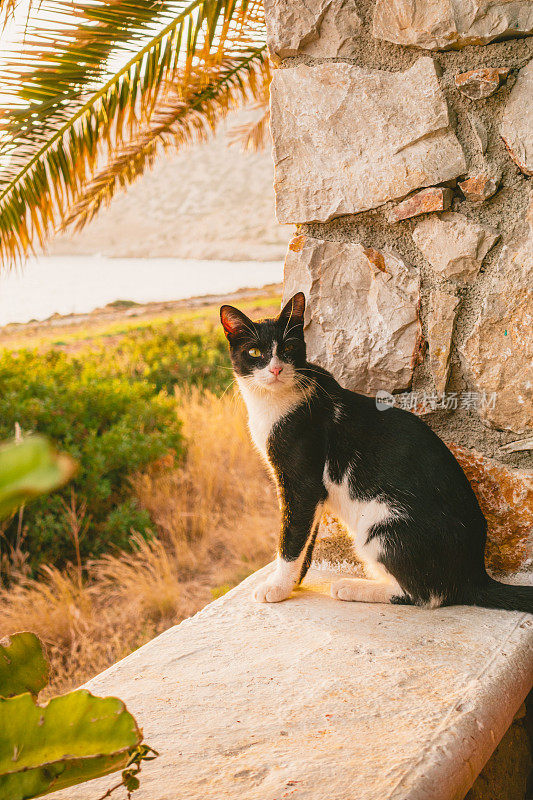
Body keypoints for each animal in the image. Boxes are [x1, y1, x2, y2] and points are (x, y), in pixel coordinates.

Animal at [219, 294, 532, 612]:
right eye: (255, 352)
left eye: (288, 348)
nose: (276, 369)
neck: (273, 403)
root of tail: (474, 575)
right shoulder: (311, 492)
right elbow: (306, 535)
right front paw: (294, 583)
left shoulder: (302, 482)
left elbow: (292, 537)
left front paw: (277, 587)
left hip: (380, 524)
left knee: (427, 595)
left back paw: (352, 587)